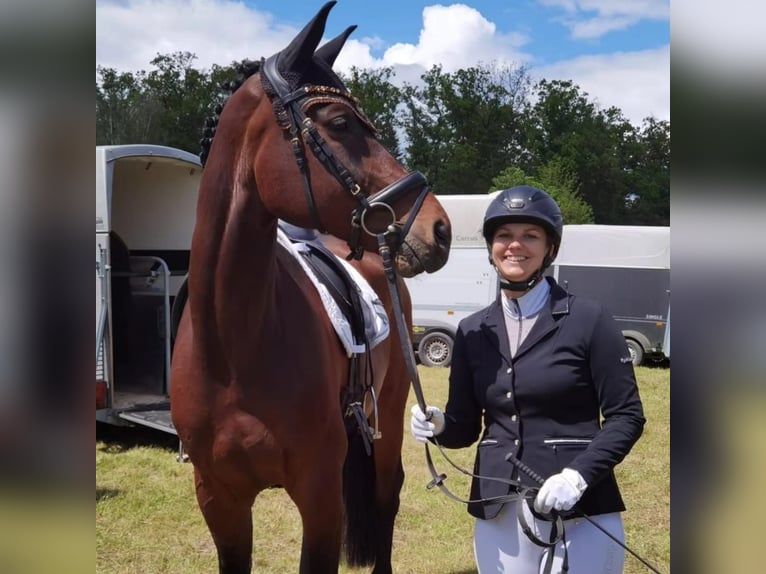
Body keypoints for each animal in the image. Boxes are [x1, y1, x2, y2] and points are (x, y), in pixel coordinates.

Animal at [170, 2, 450, 572]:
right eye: (340, 124)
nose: (438, 228)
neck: (234, 347)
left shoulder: (319, 496)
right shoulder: (219, 500)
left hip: (388, 417)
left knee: (387, 496)